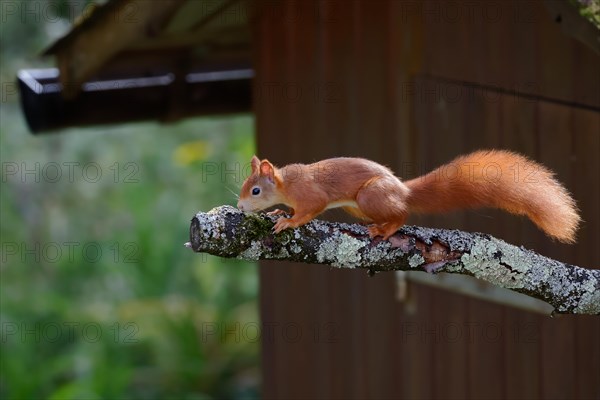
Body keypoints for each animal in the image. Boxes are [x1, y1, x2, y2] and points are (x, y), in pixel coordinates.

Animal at [236, 150, 580, 242]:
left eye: (255, 190)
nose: (239, 206)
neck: (285, 184)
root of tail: (403, 190)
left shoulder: (311, 194)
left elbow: (311, 209)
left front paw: (289, 222)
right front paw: (278, 213)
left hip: (370, 196)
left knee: (402, 215)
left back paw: (385, 229)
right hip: (360, 207)